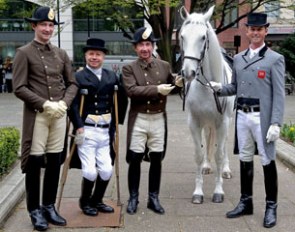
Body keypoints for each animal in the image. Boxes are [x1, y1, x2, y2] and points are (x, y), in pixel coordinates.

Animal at [180, 4, 236, 203]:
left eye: (203, 37)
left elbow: (219, 154)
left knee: (224, 145)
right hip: (207, 123)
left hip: (228, 121)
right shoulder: (194, 122)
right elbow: (198, 154)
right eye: (182, 36)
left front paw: (218, 191)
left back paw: (225, 170)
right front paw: (198, 192)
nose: (188, 72)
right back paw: (206, 166)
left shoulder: (222, 122)